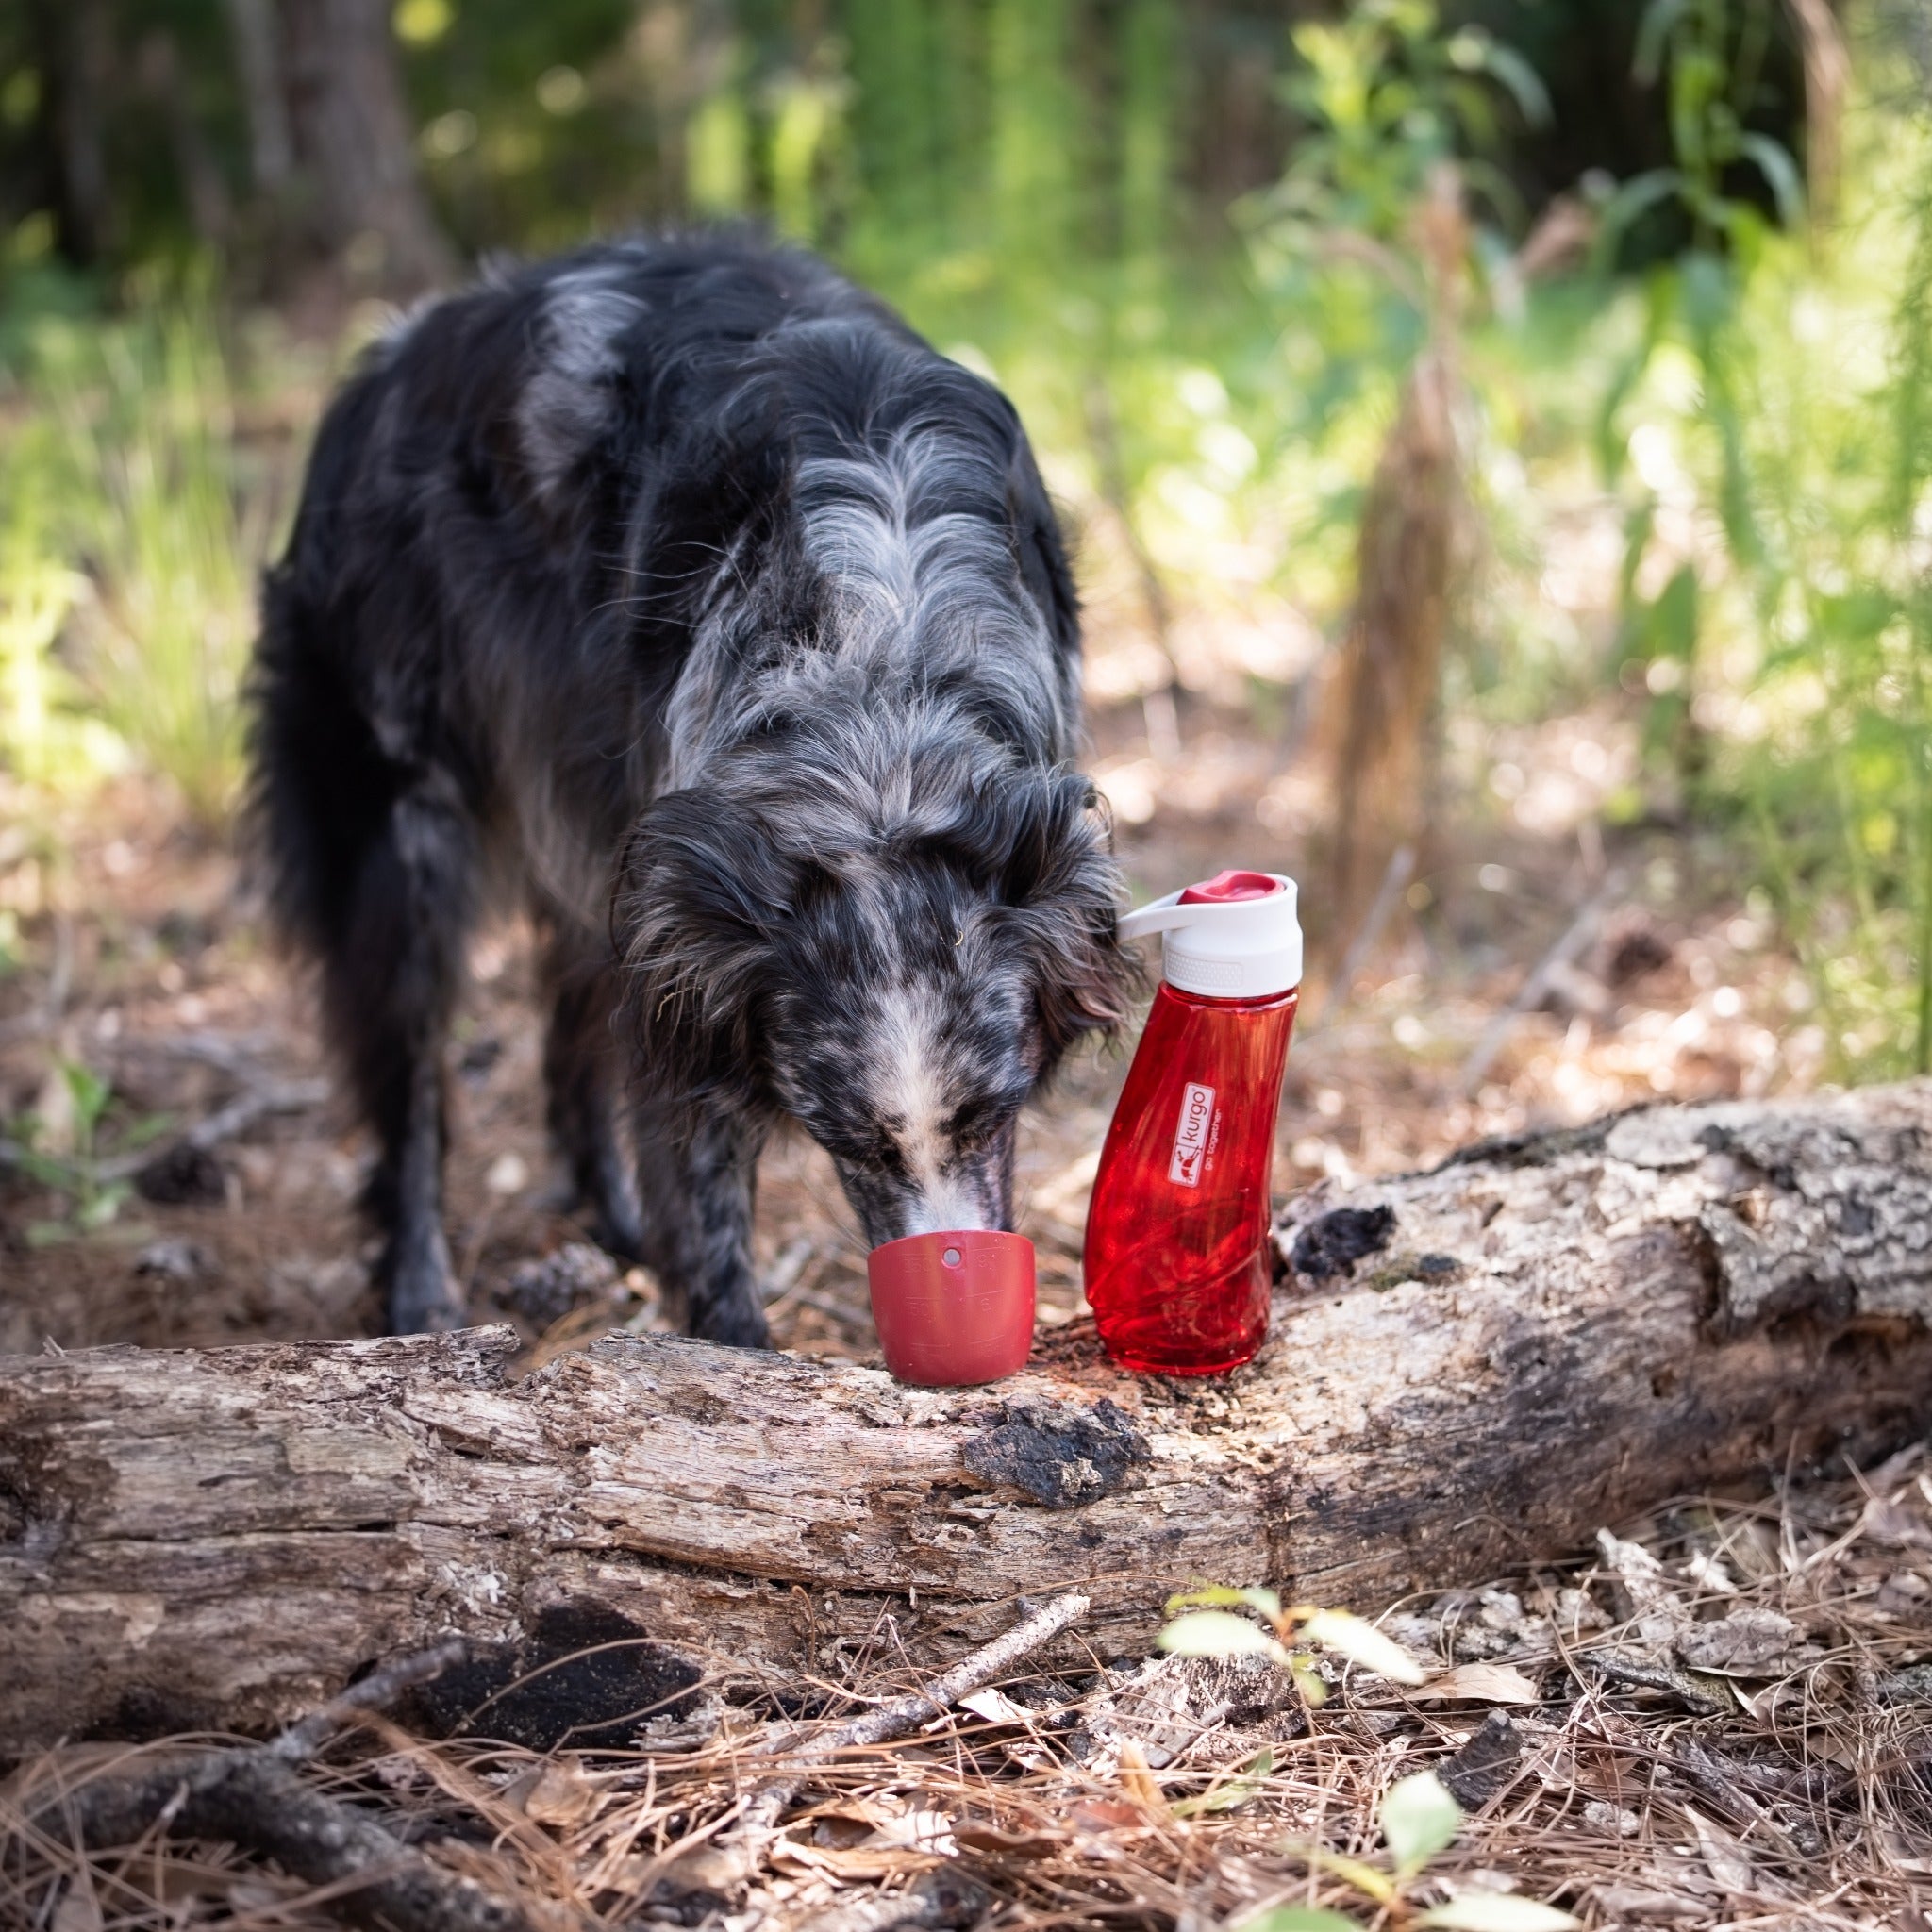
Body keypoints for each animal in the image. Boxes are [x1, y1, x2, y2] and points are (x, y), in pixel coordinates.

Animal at [253, 233, 1128, 1337]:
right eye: (848, 1141)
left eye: (993, 1113)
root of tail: (384, 359)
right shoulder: (689, 926)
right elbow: (704, 1197)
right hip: (397, 812)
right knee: (408, 1068)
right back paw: (419, 1293)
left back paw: (610, 1221)